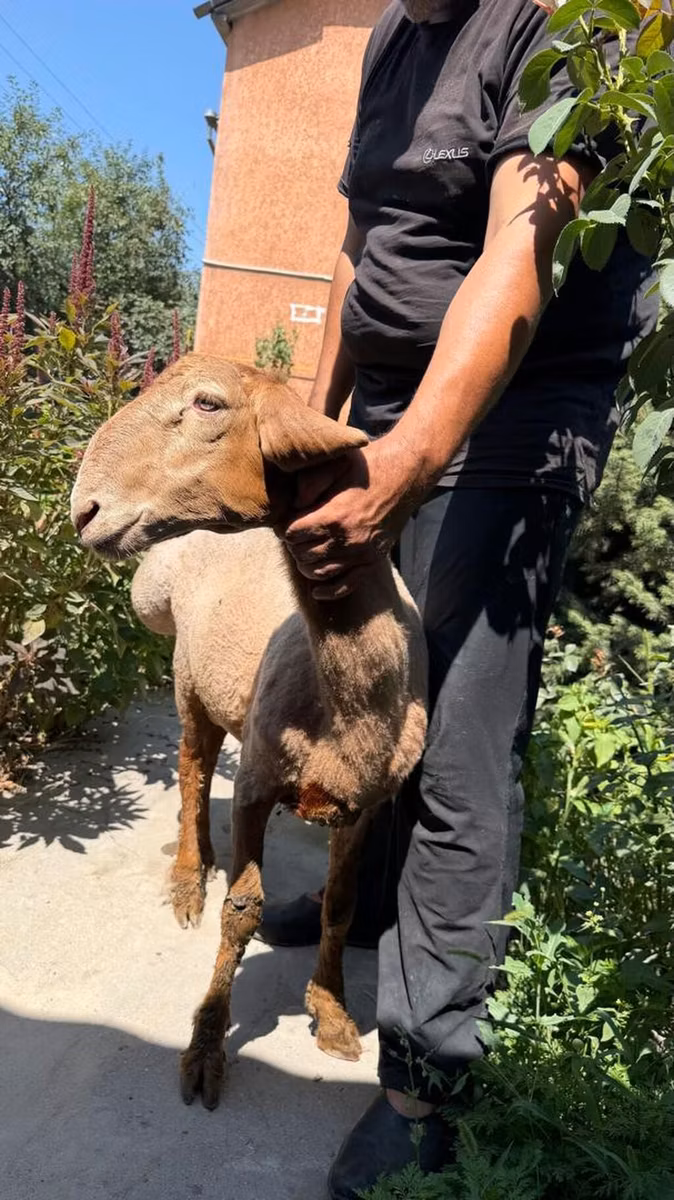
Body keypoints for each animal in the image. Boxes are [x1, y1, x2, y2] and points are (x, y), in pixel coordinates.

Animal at [71, 354, 428, 1110]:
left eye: (208, 404)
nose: (83, 510)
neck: (349, 700)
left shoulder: (365, 805)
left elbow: (341, 906)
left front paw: (332, 1012)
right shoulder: (260, 781)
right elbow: (242, 909)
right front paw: (207, 1042)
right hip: (188, 680)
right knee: (192, 771)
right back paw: (188, 873)